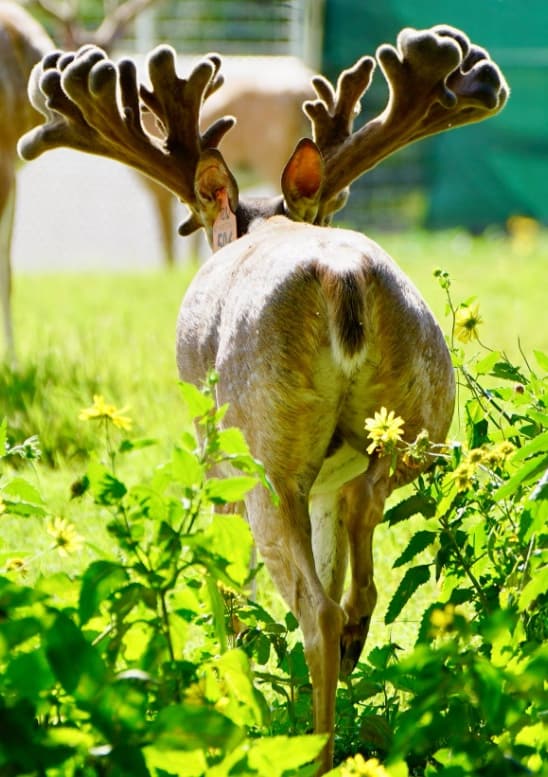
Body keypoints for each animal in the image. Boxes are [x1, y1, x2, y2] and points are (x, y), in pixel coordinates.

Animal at [18, 26, 508, 774]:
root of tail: (343, 276)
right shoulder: (329, 480)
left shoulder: (211, 461)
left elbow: (226, 589)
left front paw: (229, 697)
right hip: (420, 420)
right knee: (362, 524)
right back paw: (353, 642)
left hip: (261, 447)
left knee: (313, 604)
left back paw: (314, 743)